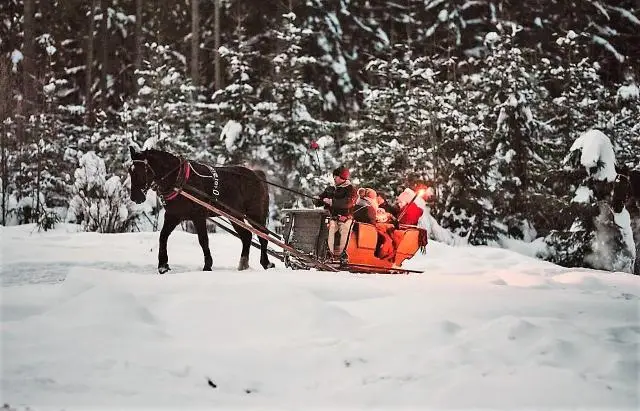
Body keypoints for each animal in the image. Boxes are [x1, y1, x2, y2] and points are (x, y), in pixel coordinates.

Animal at [128, 147, 276, 274]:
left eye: (139, 171)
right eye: (130, 171)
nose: (135, 198)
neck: (178, 179)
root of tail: (257, 174)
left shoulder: (198, 216)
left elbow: (203, 240)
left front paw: (207, 266)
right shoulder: (173, 216)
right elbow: (163, 236)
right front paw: (163, 266)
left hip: (255, 213)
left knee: (263, 235)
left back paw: (266, 263)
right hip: (235, 215)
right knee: (247, 236)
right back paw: (243, 264)